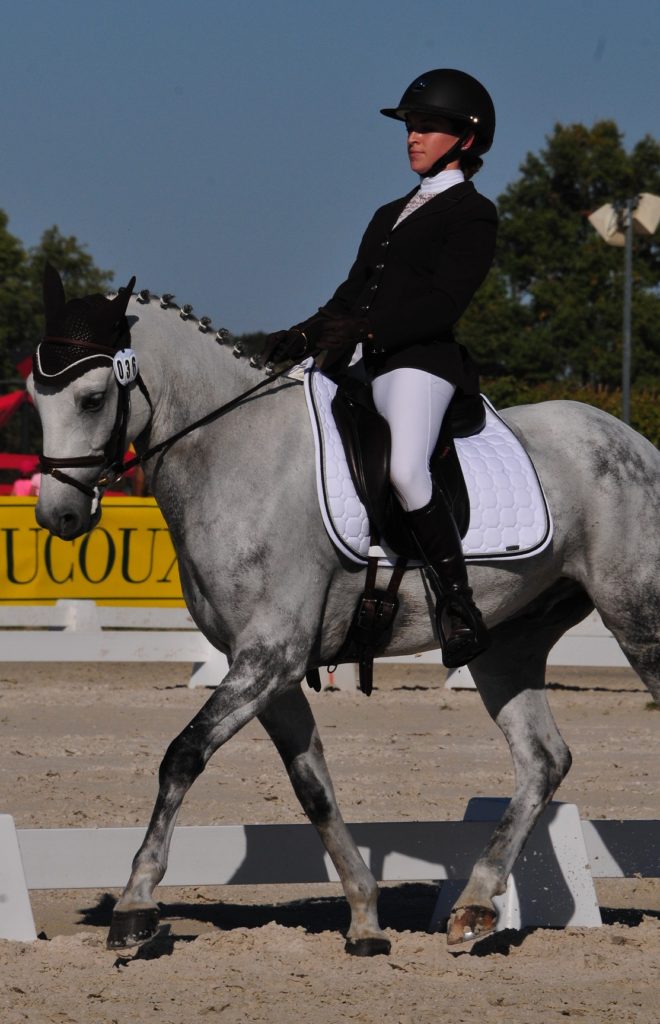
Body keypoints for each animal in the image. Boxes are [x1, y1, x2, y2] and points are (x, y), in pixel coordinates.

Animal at [29, 276, 658, 954]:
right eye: (36, 399)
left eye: (93, 398)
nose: (59, 516)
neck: (234, 453)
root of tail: (633, 442)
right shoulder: (265, 670)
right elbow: (313, 787)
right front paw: (364, 918)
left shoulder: (270, 656)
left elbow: (183, 755)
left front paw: (135, 904)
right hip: (505, 645)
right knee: (542, 760)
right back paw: (473, 906)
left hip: (638, 617)